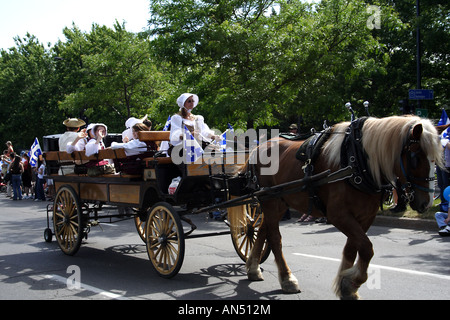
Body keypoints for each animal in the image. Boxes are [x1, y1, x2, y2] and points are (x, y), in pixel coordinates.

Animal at [243, 115, 442, 300]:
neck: (356, 161)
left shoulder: (365, 216)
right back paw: (286, 278)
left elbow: (353, 248)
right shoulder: (338, 215)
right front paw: (353, 281)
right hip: (270, 201)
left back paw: (253, 268)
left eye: (435, 159)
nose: (426, 202)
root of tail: (260, 147)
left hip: (279, 202)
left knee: (262, 230)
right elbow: (366, 248)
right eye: (415, 158)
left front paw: (347, 285)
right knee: (275, 238)